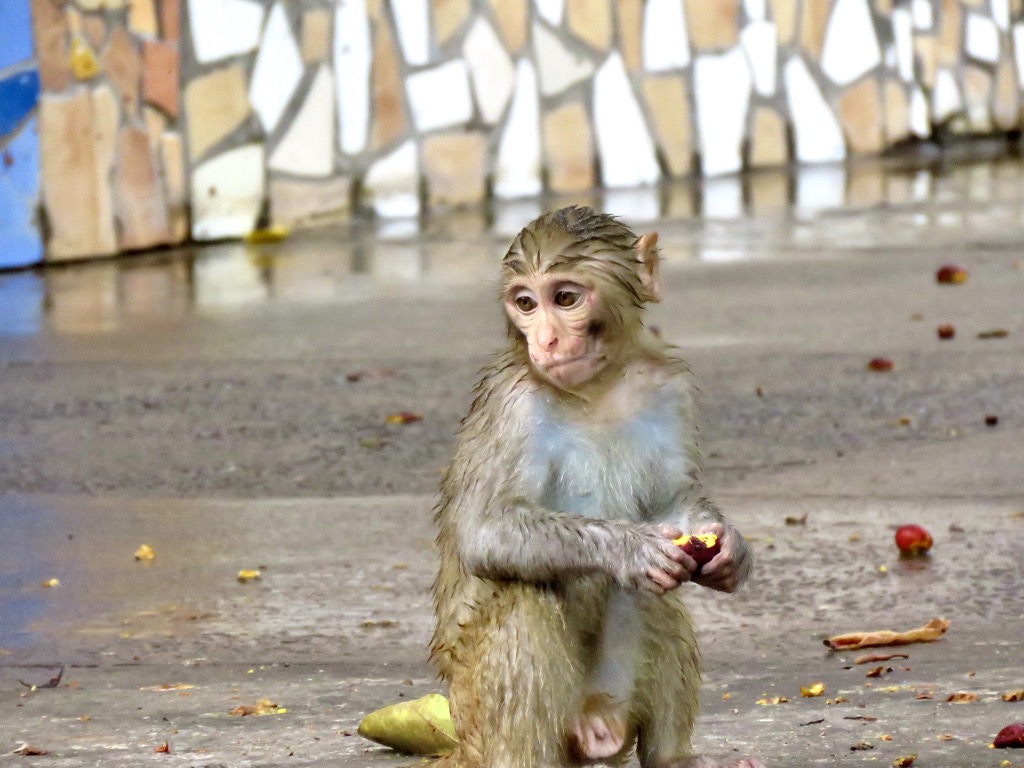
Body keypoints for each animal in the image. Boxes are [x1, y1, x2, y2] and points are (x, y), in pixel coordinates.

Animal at [430, 205, 761, 768]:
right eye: (526, 303)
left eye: (565, 298)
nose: (545, 340)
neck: (596, 389)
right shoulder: (510, 403)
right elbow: (484, 531)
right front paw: (630, 549)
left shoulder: (666, 385)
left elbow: (673, 502)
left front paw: (730, 549)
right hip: (477, 714)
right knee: (523, 594)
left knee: (663, 600)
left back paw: (672, 758)